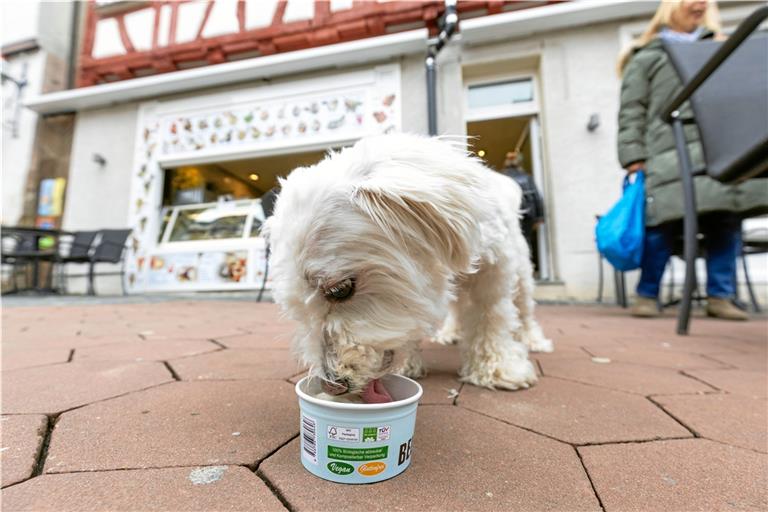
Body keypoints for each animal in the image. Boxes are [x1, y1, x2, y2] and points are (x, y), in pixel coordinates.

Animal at [264, 133, 552, 396]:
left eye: (341, 289)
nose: (333, 385)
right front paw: (407, 365)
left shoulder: (495, 269)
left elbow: (491, 315)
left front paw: (497, 367)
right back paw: (451, 332)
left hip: (522, 270)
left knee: (523, 308)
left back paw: (532, 339)